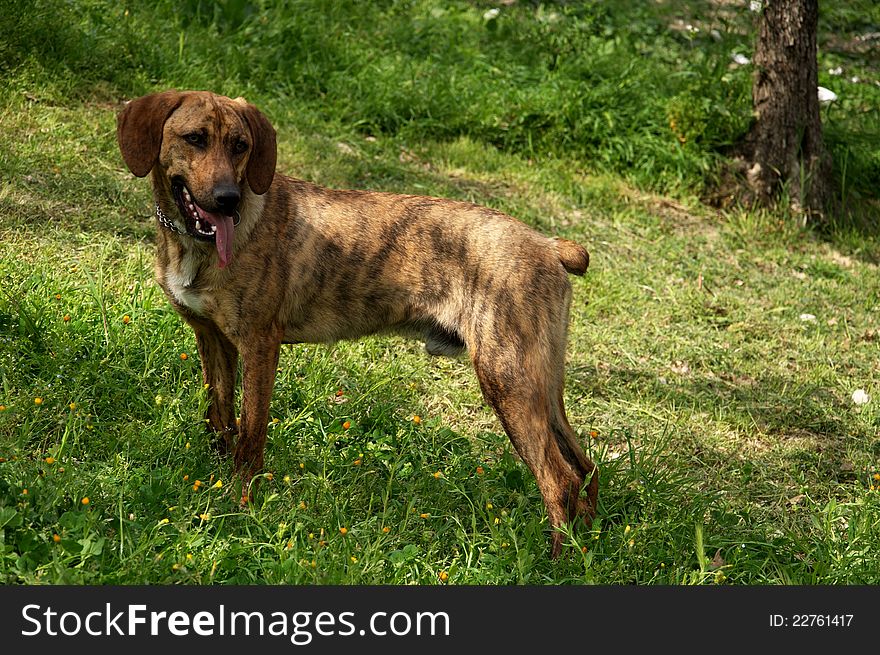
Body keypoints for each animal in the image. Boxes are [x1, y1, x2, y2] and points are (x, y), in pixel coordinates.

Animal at [117, 89, 600, 556]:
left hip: (507, 379)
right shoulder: (213, 339)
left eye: (241, 146)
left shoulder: (258, 346)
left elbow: (250, 439)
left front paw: (240, 509)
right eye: (195, 138)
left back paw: (556, 561)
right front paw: (215, 490)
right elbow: (220, 419)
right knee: (586, 468)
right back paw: (587, 548)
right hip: (541, 385)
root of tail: (549, 244)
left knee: (559, 479)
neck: (194, 244)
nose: (227, 200)